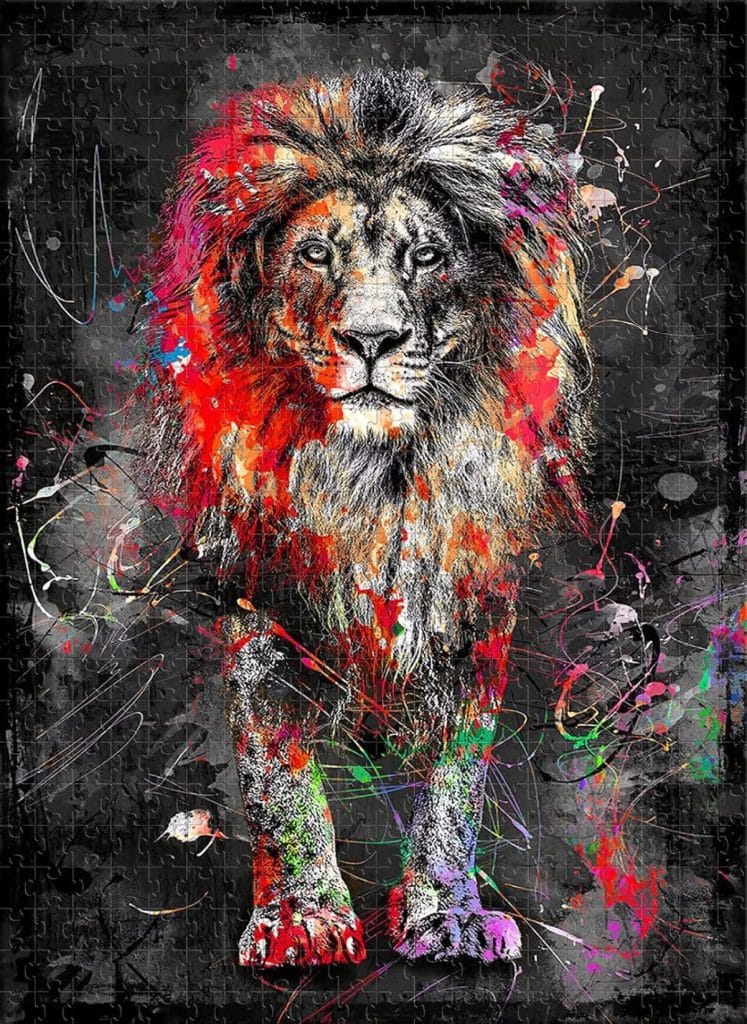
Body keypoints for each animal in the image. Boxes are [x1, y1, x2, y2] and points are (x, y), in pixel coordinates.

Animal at [135, 68, 594, 969]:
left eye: (427, 255)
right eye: (316, 255)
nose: (372, 339)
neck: (376, 483)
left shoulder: (468, 612)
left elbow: (455, 785)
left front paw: (446, 913)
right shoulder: (265, 609)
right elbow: (279, 781)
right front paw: (303, 919)